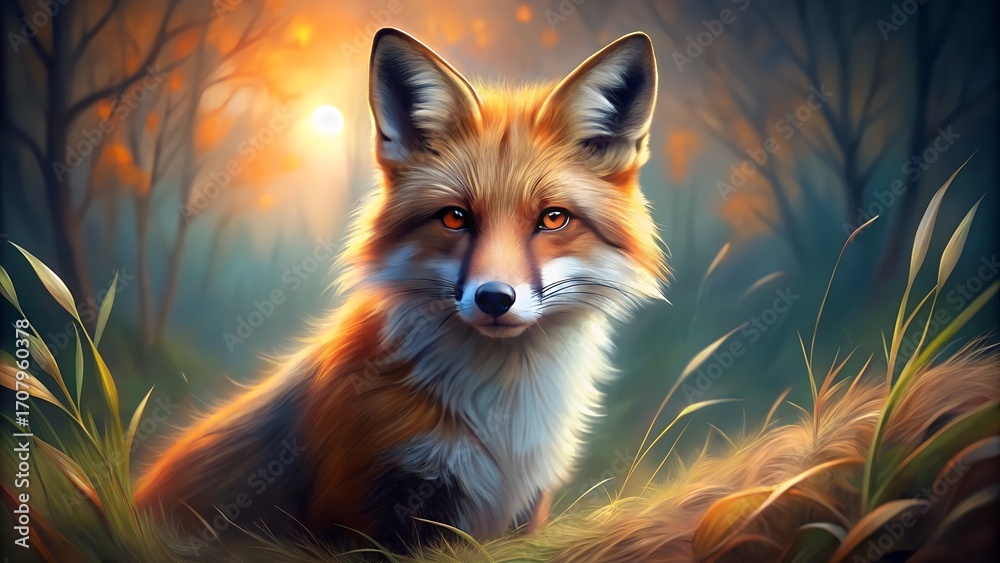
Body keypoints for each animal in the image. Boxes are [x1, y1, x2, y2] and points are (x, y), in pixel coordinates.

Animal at [134, 27, 666, 549]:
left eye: (553, 218)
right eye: (455, 217)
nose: (494, 298)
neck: (500, 418)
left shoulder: (522, 510)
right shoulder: (369, 508)